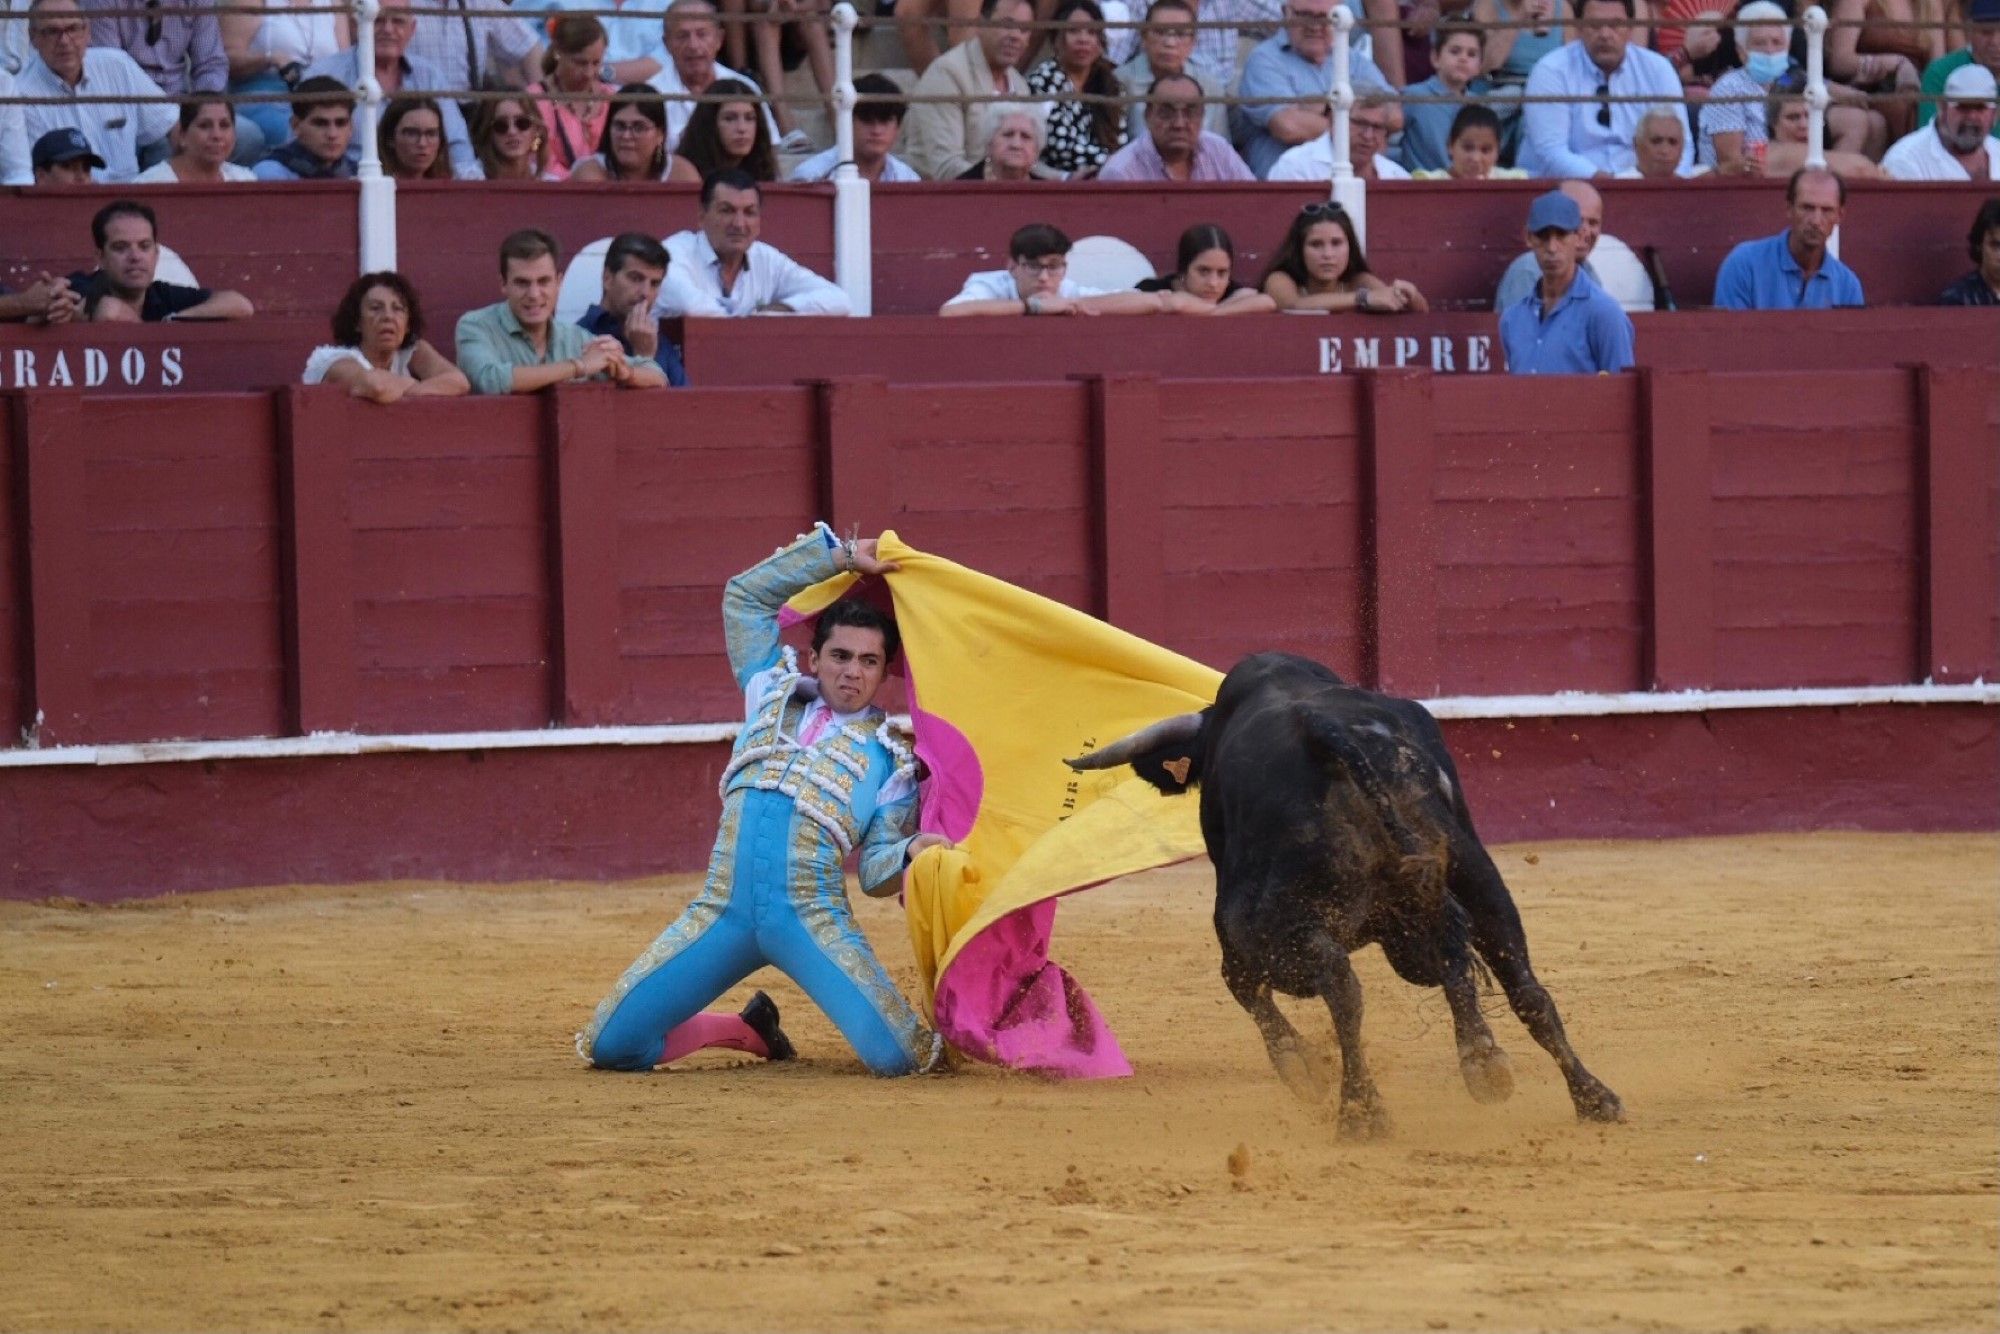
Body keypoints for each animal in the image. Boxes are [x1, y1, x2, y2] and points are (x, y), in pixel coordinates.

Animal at [1072, 656, 1616, 1136]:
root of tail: (1329, 732)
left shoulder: (1252, 938)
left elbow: (1246, 987)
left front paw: (1302, 1067)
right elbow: (1458, 965)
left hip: (1272, 930)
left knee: (1336, 986)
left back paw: (1360, 1113)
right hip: (1473, 870)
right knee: (1517, 980)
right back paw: (1572, 1090)